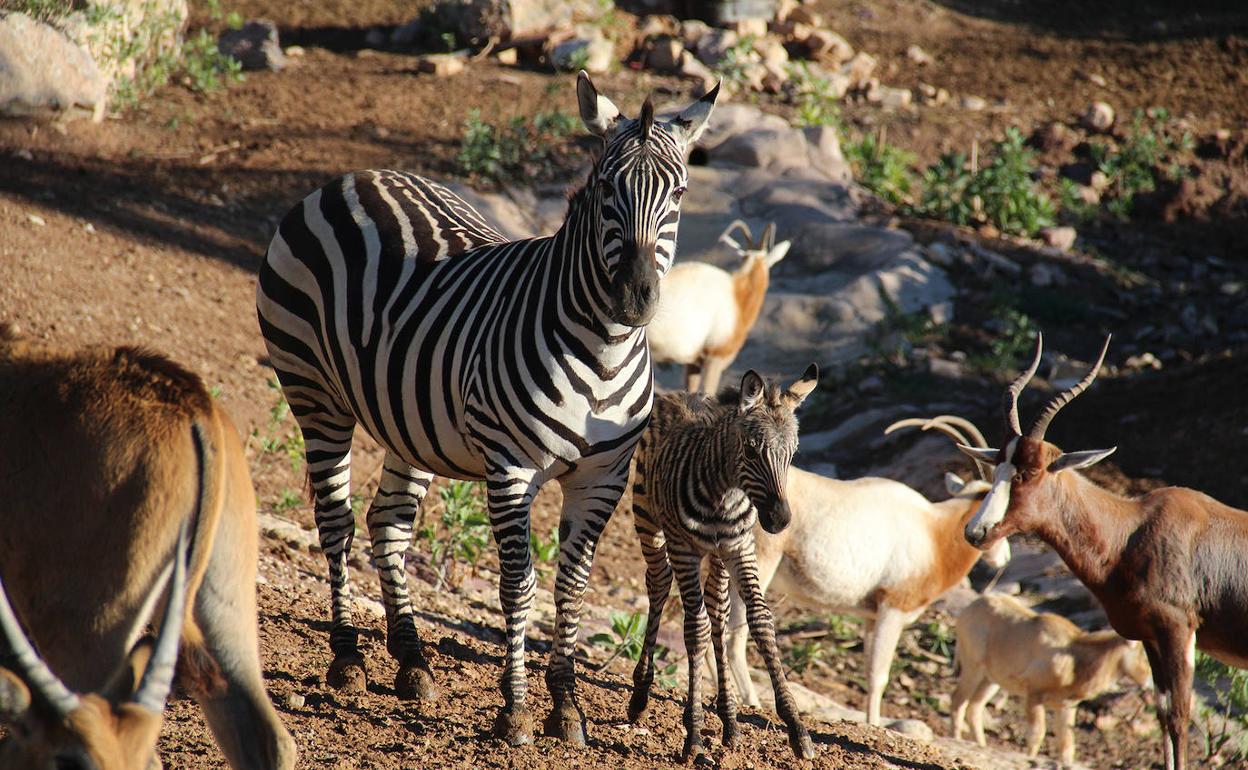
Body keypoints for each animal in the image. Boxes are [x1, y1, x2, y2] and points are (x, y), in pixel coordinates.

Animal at [255, 73, 723, 743]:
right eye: (607, 188)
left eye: (679, 193)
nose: (635, 298)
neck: (604, 352)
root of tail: (353, 177)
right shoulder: (511, 470)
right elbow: (519, 585)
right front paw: (517, 709)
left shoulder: (602, 479)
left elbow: (571, 586)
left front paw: (566, 705)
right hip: (314, 394)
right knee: (335, 520)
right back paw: (347, 656)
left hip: (410, 419)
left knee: (387, 523)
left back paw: (413, 661)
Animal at [624, 364, 818, 758]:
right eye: (751, 450)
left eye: (793, 453)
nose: (780, 520)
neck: (726, 493)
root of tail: (681, 393)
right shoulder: (684, 549)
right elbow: (694, 627)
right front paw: (694, 735)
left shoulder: (739, 548)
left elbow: (759, 620)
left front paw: (796, 728)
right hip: (648, 519)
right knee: (659, 583)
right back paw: (640, 696)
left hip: (717, 557)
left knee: (718, 609)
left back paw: (729, 721)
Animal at [728, 411, 1008, 723]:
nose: (1004, 558)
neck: (933, 531)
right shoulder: (892, 611)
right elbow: (879, 677)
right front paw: (875, 723)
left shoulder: (871, 617)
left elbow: (868, 672)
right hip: (758, 566)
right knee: (735, 638)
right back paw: (752, 702)